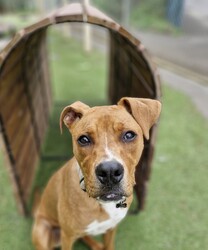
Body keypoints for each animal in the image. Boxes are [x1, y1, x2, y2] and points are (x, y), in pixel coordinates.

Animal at [31, 96, 161, 249]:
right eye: (83, 139)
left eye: (129, 135)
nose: (109, 172)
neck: (101, 205)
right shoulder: (67, 236)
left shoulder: (111, 228)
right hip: (43, 230)